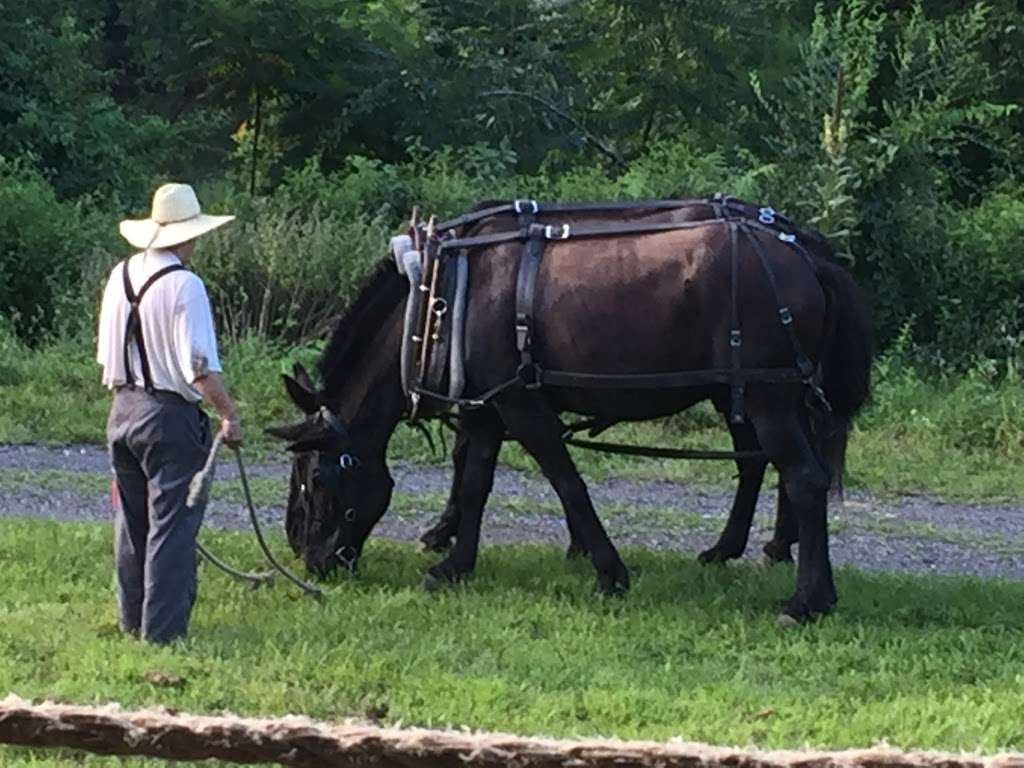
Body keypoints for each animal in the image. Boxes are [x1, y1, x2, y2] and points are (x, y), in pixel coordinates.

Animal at [270, 199, 872, 626]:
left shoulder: (521, 405)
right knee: (762, 465)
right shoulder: (487, 410)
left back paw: (807, 599)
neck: (443, 300)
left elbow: (566, 483)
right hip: (747, 393)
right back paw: (744, 551)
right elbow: (474, 483)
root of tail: (804, 255)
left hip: (767, 396)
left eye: (317, 477)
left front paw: (608, 570)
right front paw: (453, 565)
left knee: (803, 477)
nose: (309, 558)